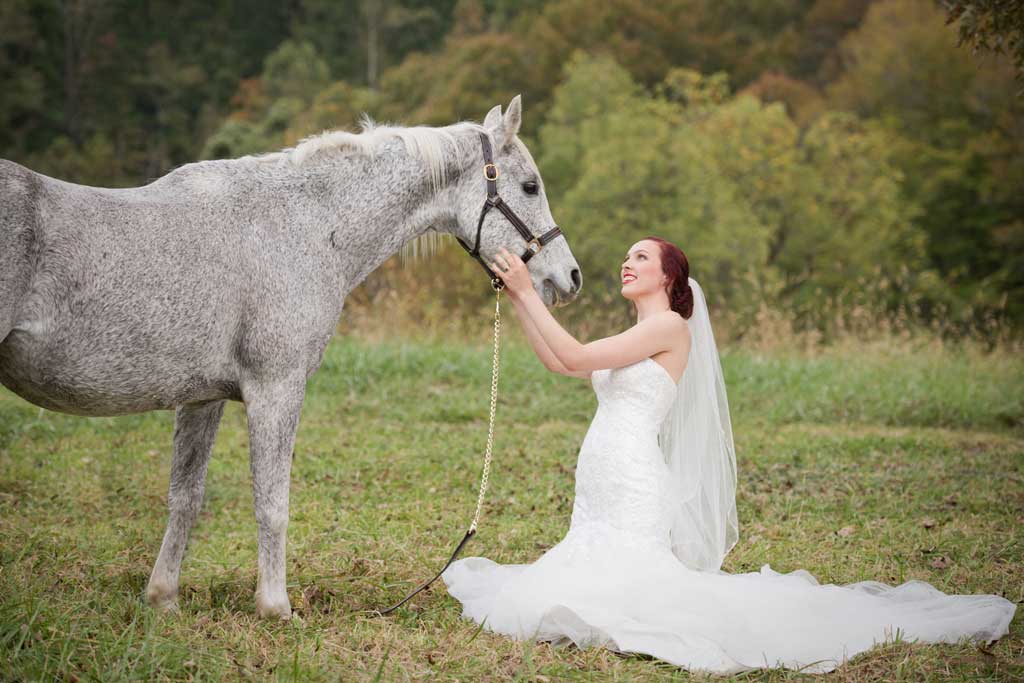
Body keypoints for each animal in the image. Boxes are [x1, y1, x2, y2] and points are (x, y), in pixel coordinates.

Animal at [0, 94, 581, 618]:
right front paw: (275, 606)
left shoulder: (201, 399)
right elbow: (272, 504)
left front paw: (163, 599)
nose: (569, 278)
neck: (303, 225)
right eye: (529, 186)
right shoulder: (276, 388)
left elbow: (184, 498)